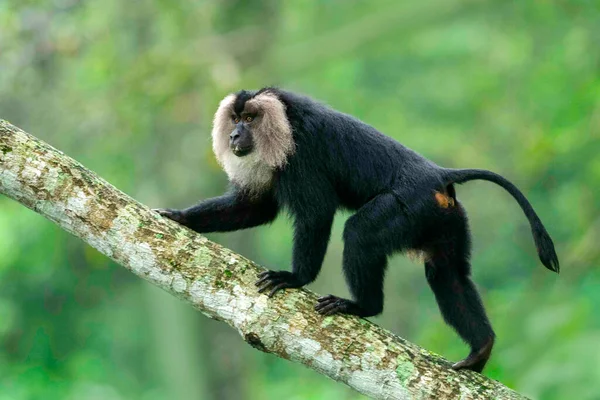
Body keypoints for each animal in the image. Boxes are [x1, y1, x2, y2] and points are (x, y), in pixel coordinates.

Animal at [155, 86, 556, 372]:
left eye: (251, 118)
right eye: (236, 118)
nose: (235, 135)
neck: (286, 124)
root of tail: (438, 174)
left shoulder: (303, 157)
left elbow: (316, 214)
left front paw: (295, 278)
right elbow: (255, 208)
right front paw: (181, 217)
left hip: (410, 206)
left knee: (360, 234)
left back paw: (363, 306)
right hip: (444, 219)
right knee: (447, 272)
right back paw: (480, 348)